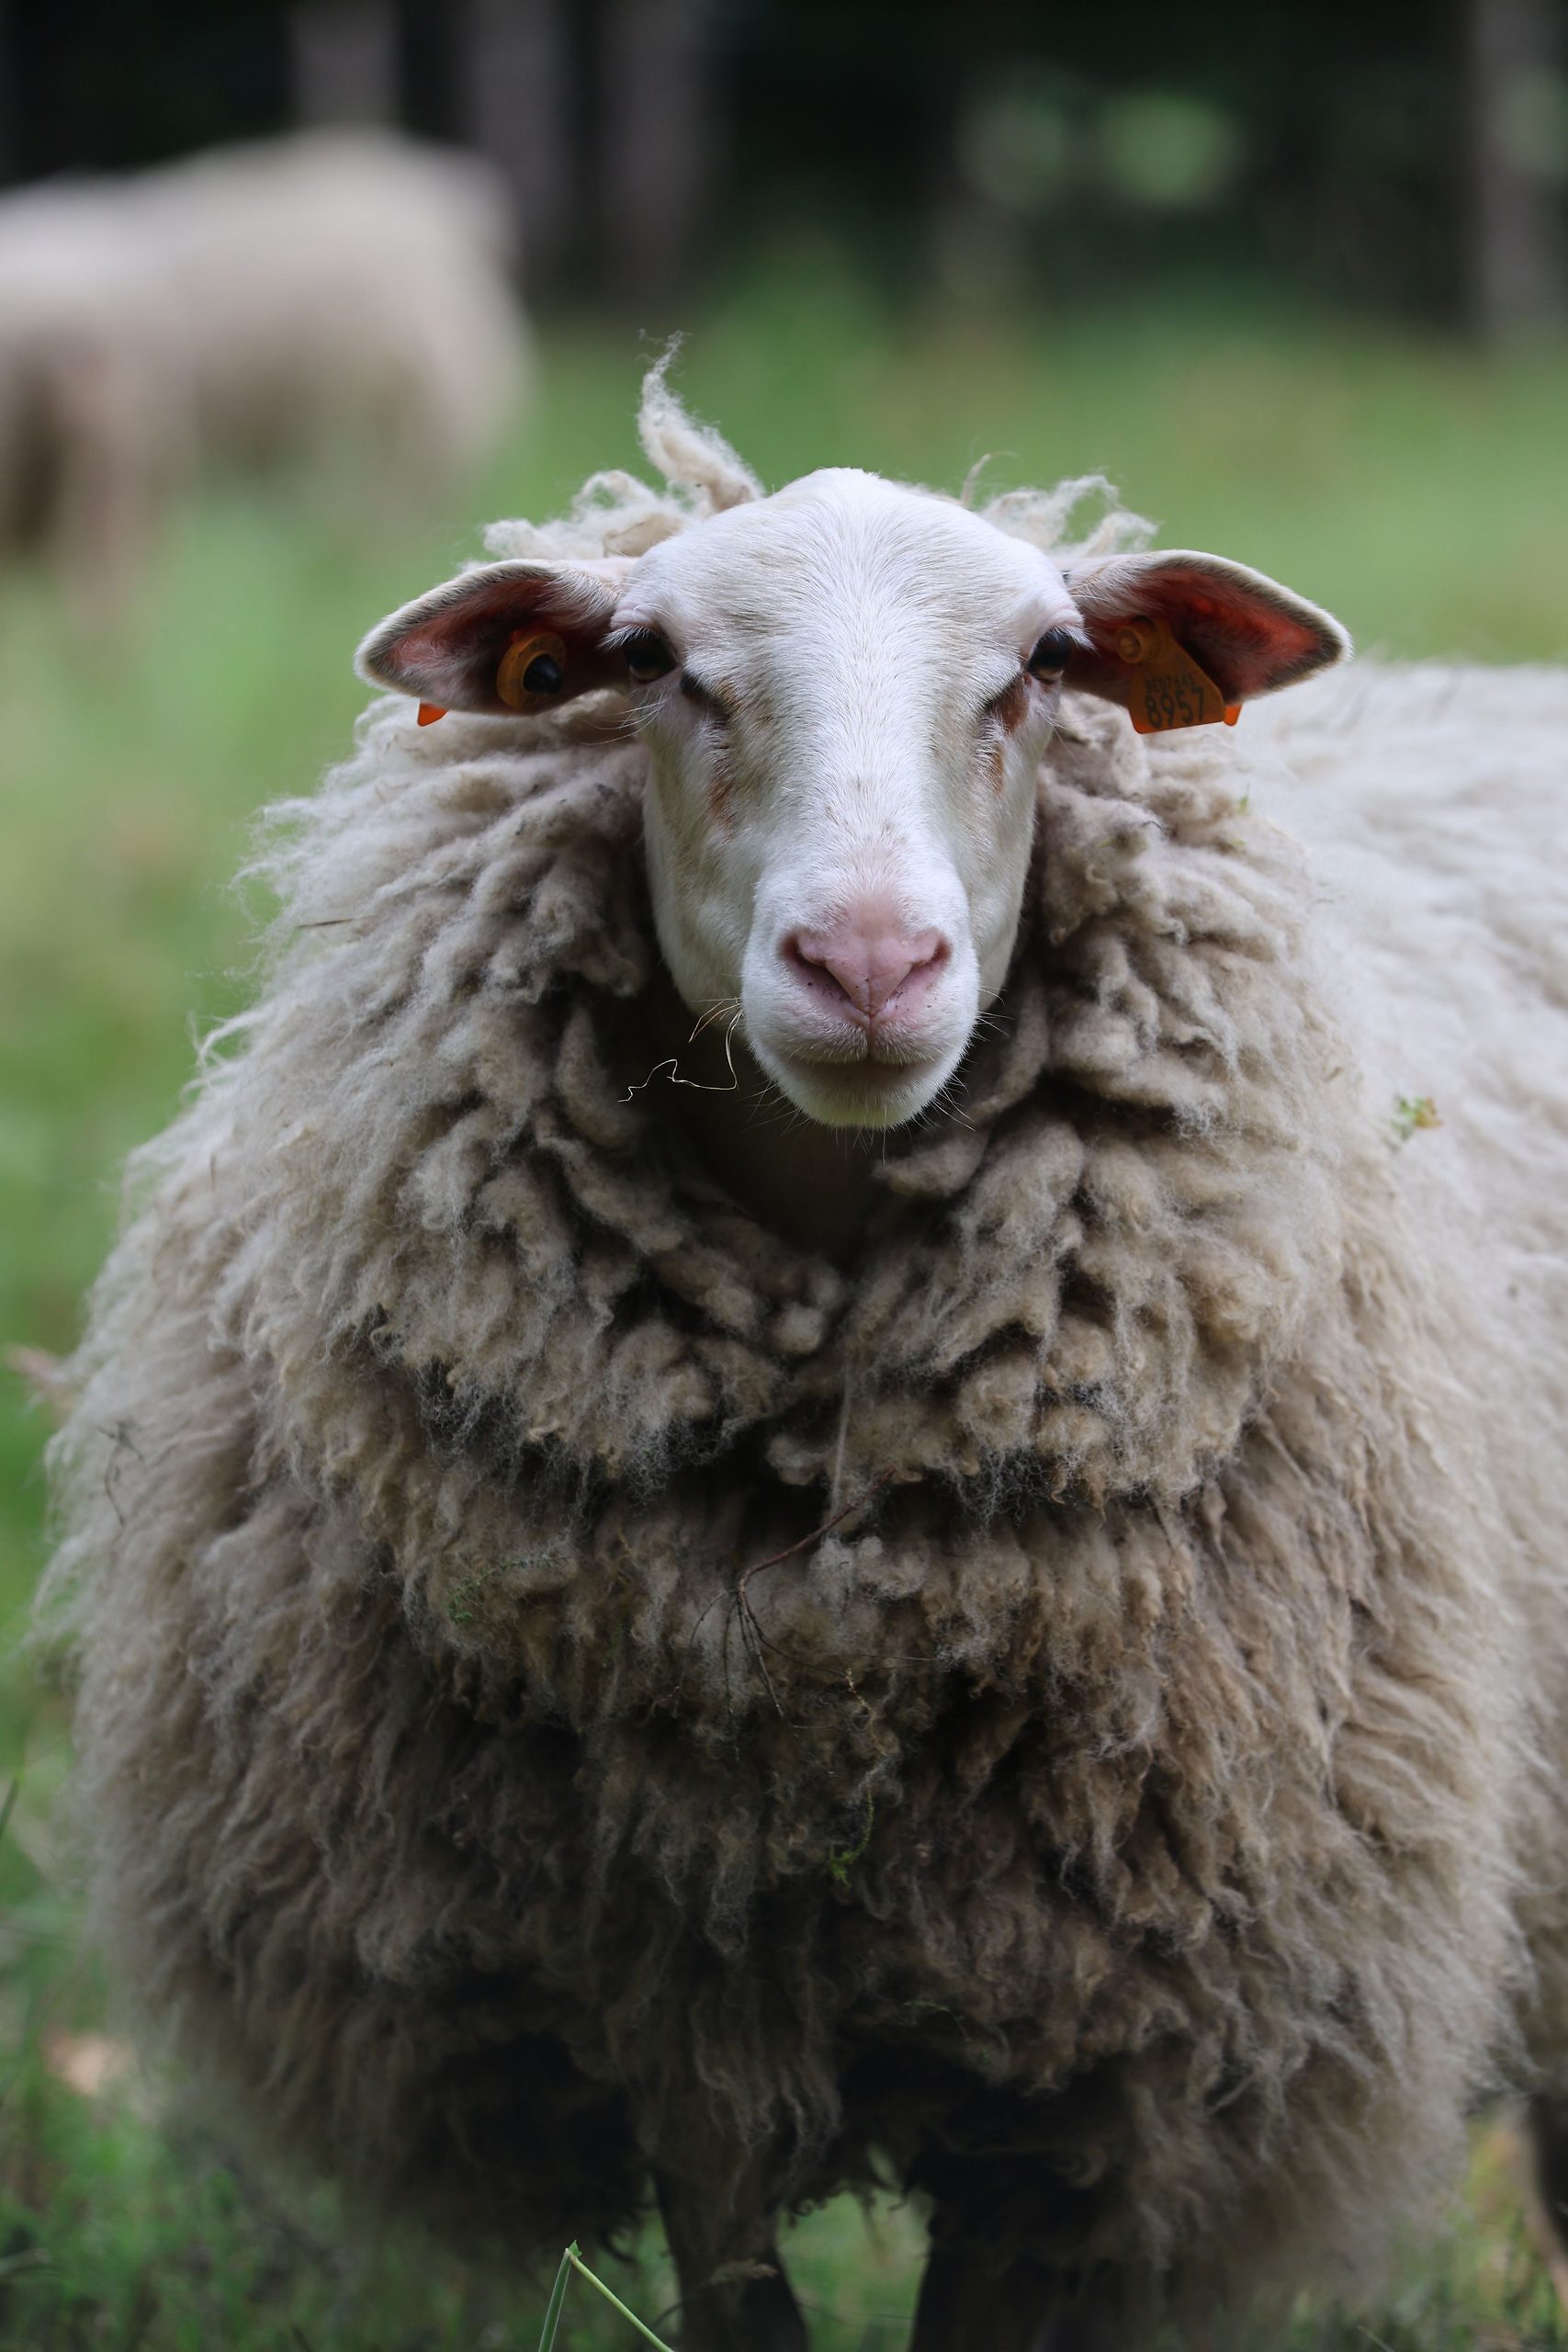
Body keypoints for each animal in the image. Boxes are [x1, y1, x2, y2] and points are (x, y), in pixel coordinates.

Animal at [42, 369, 1568, 2351]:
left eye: (1041, 665)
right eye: (655, 663)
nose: (865, 960)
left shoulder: (1084, 2047)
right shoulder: (658, 2008)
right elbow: (734, 2300)